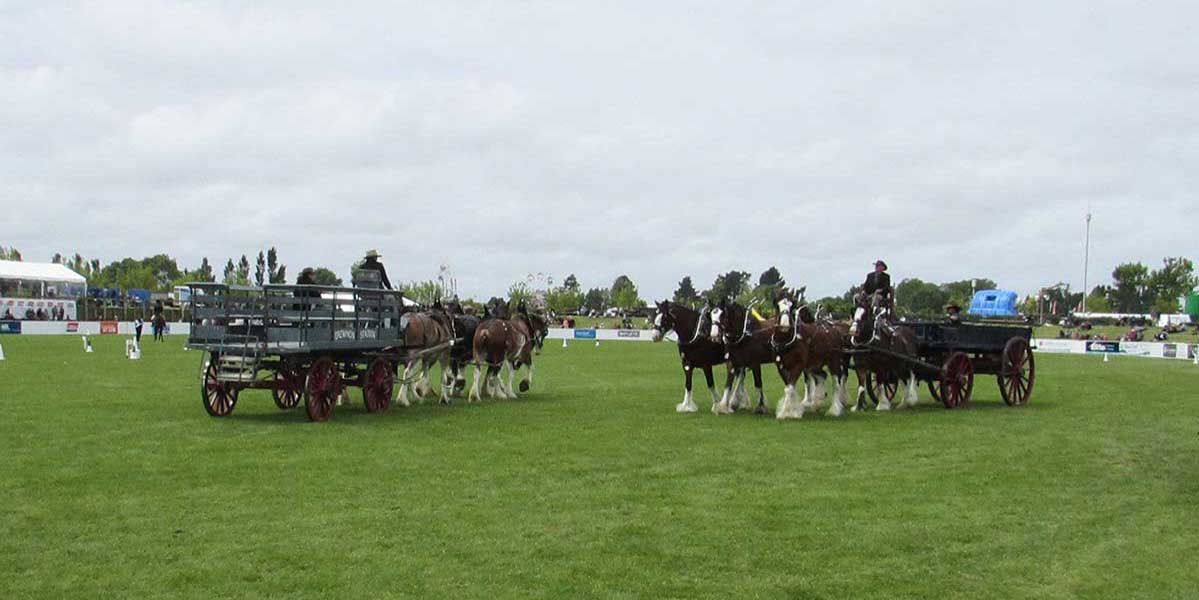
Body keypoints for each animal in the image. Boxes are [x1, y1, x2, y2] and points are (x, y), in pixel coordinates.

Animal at [767, 292, 853, 420]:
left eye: (792, 307)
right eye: (777, 306)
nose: (784, 325)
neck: (786, 341)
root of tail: (834, 329)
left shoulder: (798, 366)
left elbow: (790, 388)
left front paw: (786, 412)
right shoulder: (781, 367)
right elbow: (789, 387)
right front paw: (792, 410)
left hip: (834, 361)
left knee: (837, 383)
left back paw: (834, 410)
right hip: (815, 364)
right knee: (822, 375)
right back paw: (817, 402)